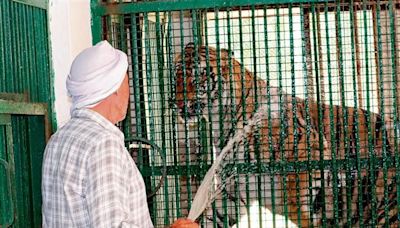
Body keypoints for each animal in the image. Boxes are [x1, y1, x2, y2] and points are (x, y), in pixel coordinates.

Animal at [173, 42, 398, 226]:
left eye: (197, 77)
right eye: (175, 78)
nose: (176, 103)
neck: (221, 121)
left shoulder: (309, 148)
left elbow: (296, 196)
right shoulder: (234, 187)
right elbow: (213, 217)